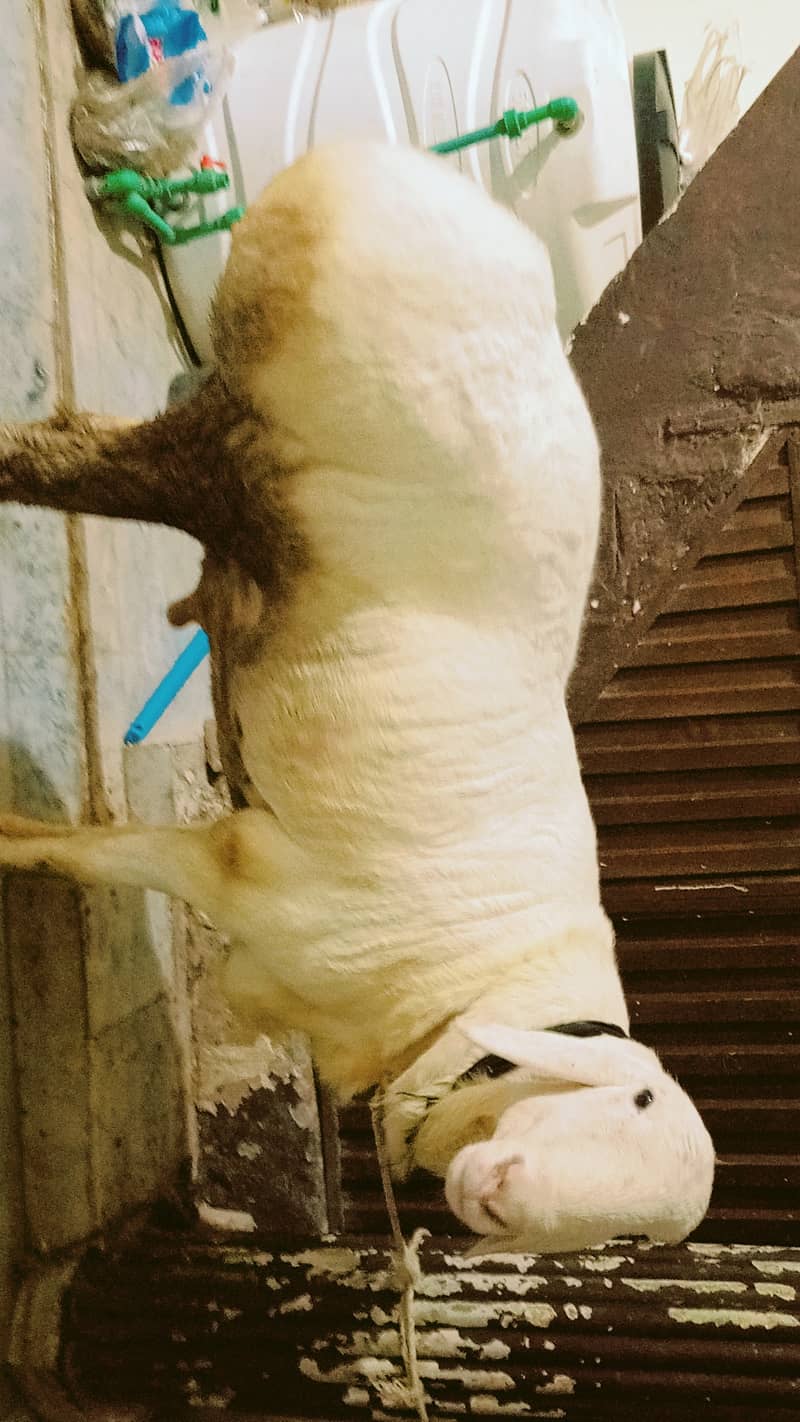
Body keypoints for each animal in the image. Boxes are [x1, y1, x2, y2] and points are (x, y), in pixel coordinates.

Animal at [0, 142, 715, 1253]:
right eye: (628, 1100)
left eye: (628, 1242)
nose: (496, 1194)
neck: (470, 999)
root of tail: (403, 174)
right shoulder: (240, 872)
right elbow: (85, 854)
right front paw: (6, 840)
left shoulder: (262, 936)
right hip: (242, 446)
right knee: (63, 455)